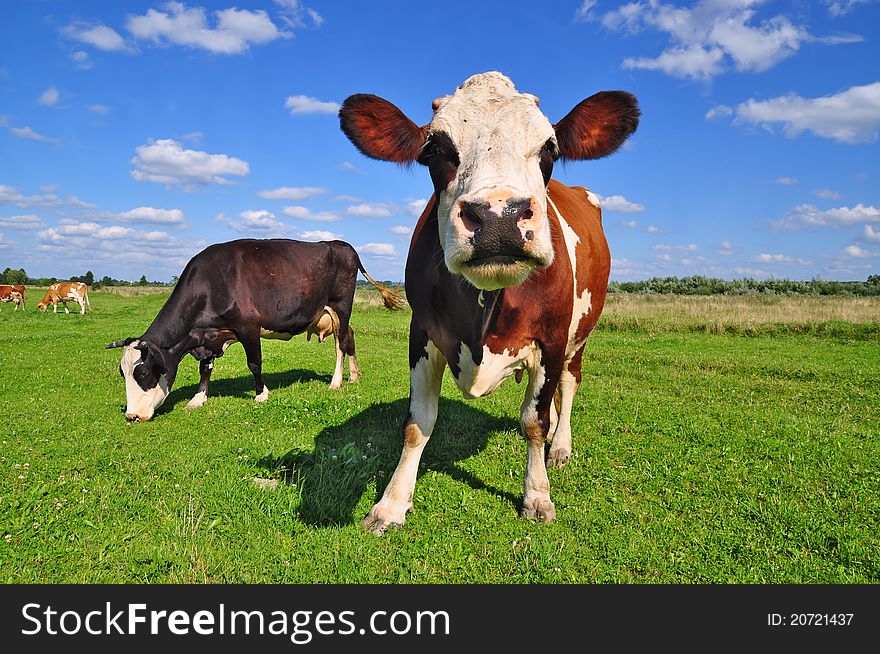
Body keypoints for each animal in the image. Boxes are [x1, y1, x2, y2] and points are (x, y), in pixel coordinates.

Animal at [105, 238, 402, 422]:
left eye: (142, 373)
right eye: (122, 373)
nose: (132, 415)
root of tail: (342, 244)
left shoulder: (248, 327)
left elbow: (254, 363)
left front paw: (261, 394)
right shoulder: (208, 335)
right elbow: (205, 369)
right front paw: (198, 398)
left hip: (341, 305)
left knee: (340, 343)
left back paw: (336, 381)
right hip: (337, 314)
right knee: (349, 337)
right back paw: (354, 376)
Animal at [338, 72, 640, 536]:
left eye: (549, 148)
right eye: (434, 149)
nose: (499, 216)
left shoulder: (551, 340)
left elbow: (534, 421)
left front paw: (537, 495)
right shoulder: (421, 334)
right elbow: (417, 425)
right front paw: (391, 504)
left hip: (579, 335)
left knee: (568, 384)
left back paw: (560, 445)